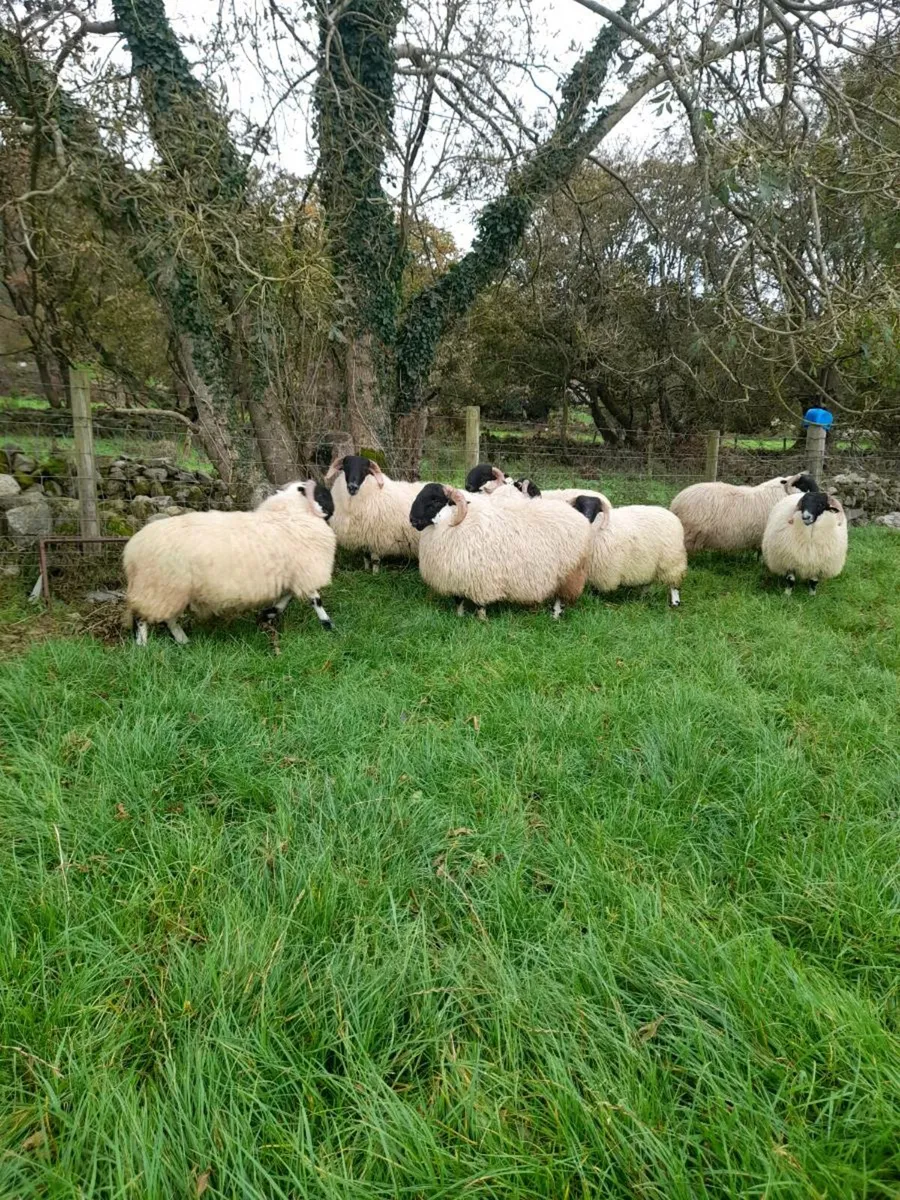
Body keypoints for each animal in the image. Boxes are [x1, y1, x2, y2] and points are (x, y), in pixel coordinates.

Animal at [123, 480, 336, 645]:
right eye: (322, 493)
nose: (332, 509)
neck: (290, 514)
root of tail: (132, 550)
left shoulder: (293, 573)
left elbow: (286, 598)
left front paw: (268, 614)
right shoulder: (304, 570)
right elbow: (315, 600)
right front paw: (328, 625)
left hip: (170, 590)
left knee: (169, 618)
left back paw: (183, 641)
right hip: (158, 586)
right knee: (142, 617)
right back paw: (143, 645)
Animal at [409, 484, 601, 620]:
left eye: (435, 501)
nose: (412, 520)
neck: (455, 523)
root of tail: (580, 517)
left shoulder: (481, 580)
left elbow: (480, 604)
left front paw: (481, 620)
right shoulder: (455, 578)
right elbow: (458, 600)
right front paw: (459, 616)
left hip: (570, 572)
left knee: (560, 598)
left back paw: (554, 616)